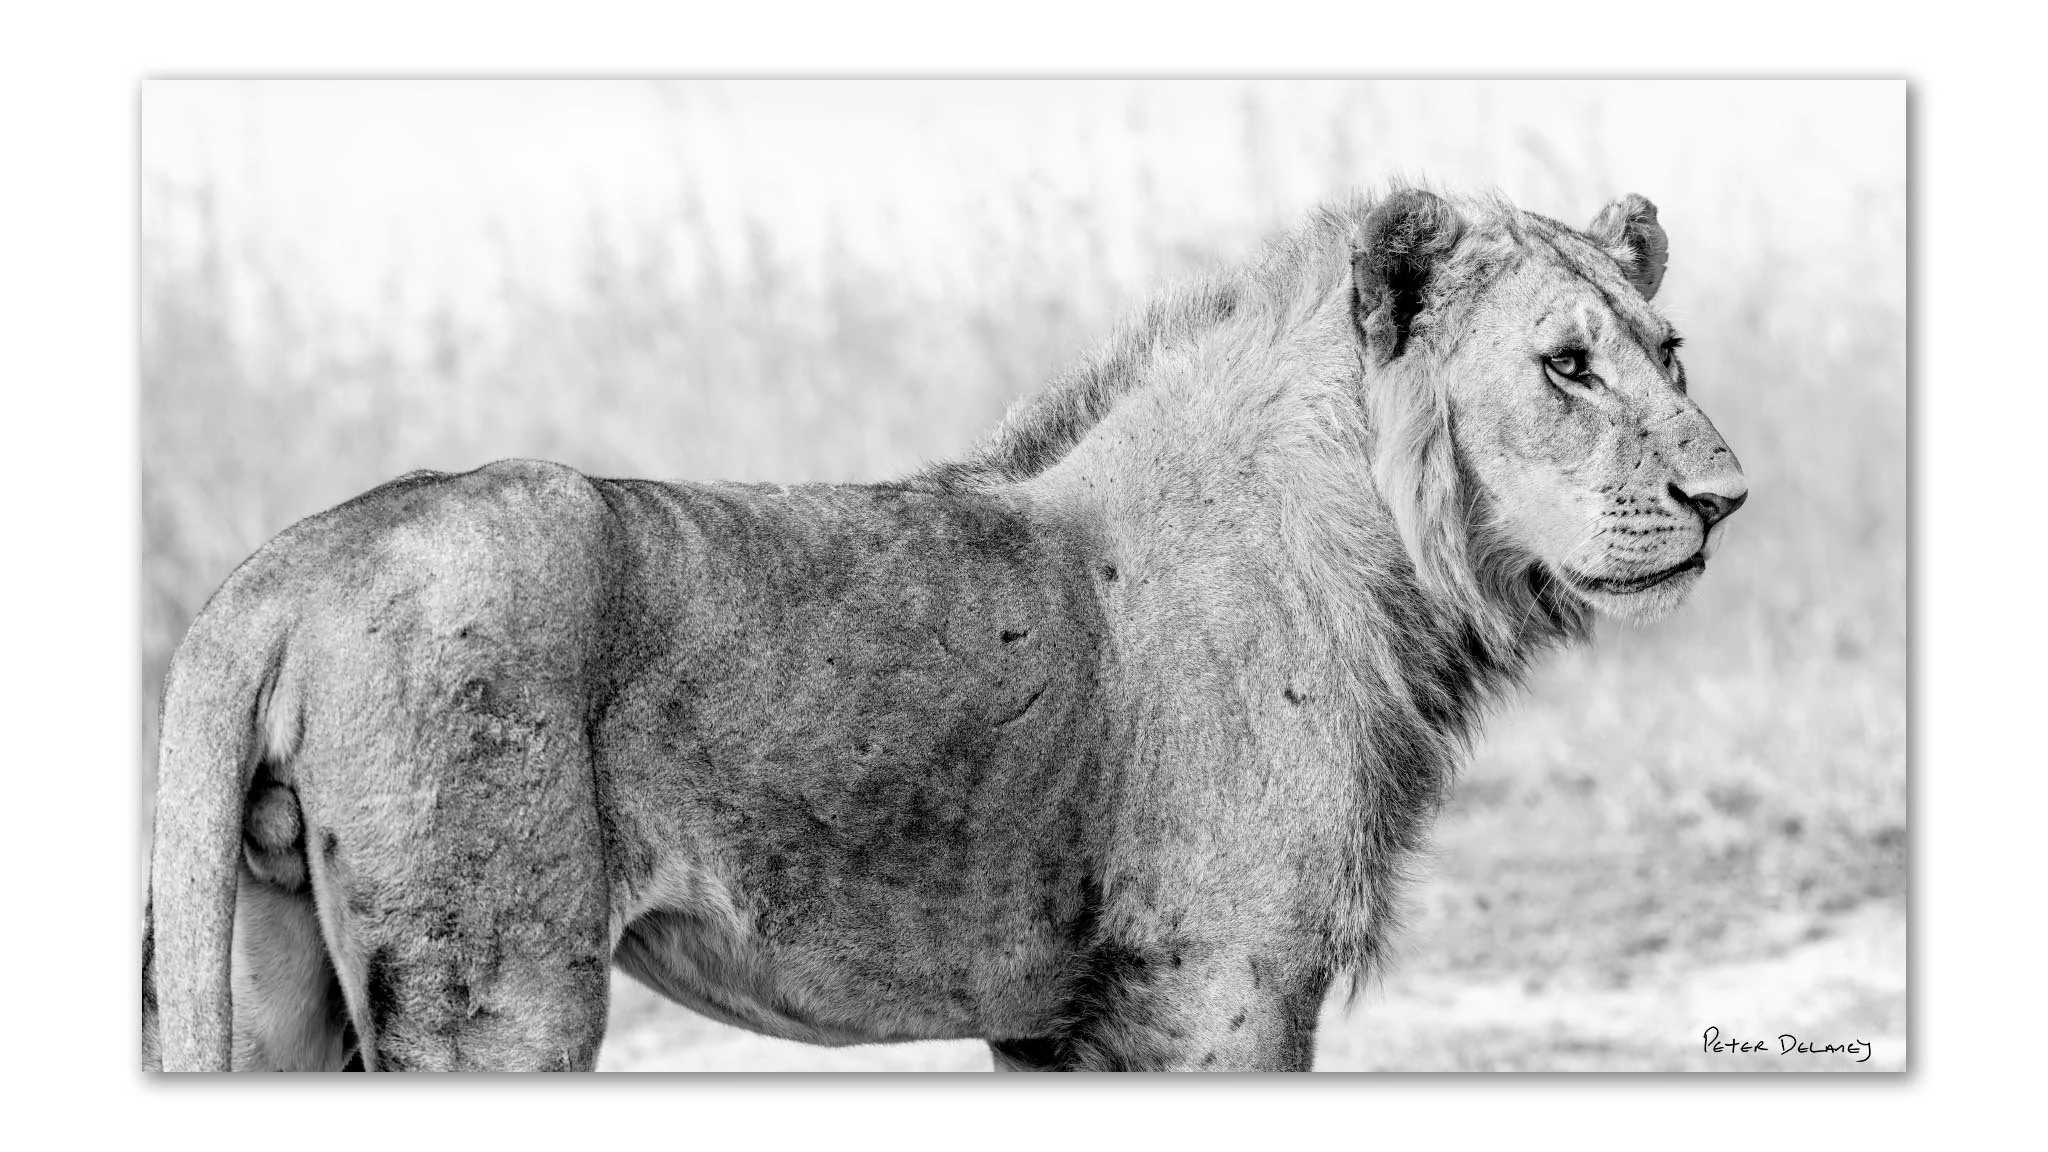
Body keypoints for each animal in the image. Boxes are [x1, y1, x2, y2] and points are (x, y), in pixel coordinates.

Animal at [143, 186, 1747, 1072]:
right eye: (1566, 367)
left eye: (1671, 354)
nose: (1725, 496)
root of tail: (285, 564)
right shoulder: (1220, 986)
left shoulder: (1071, 1023)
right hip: (499, 995)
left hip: (273, 982)